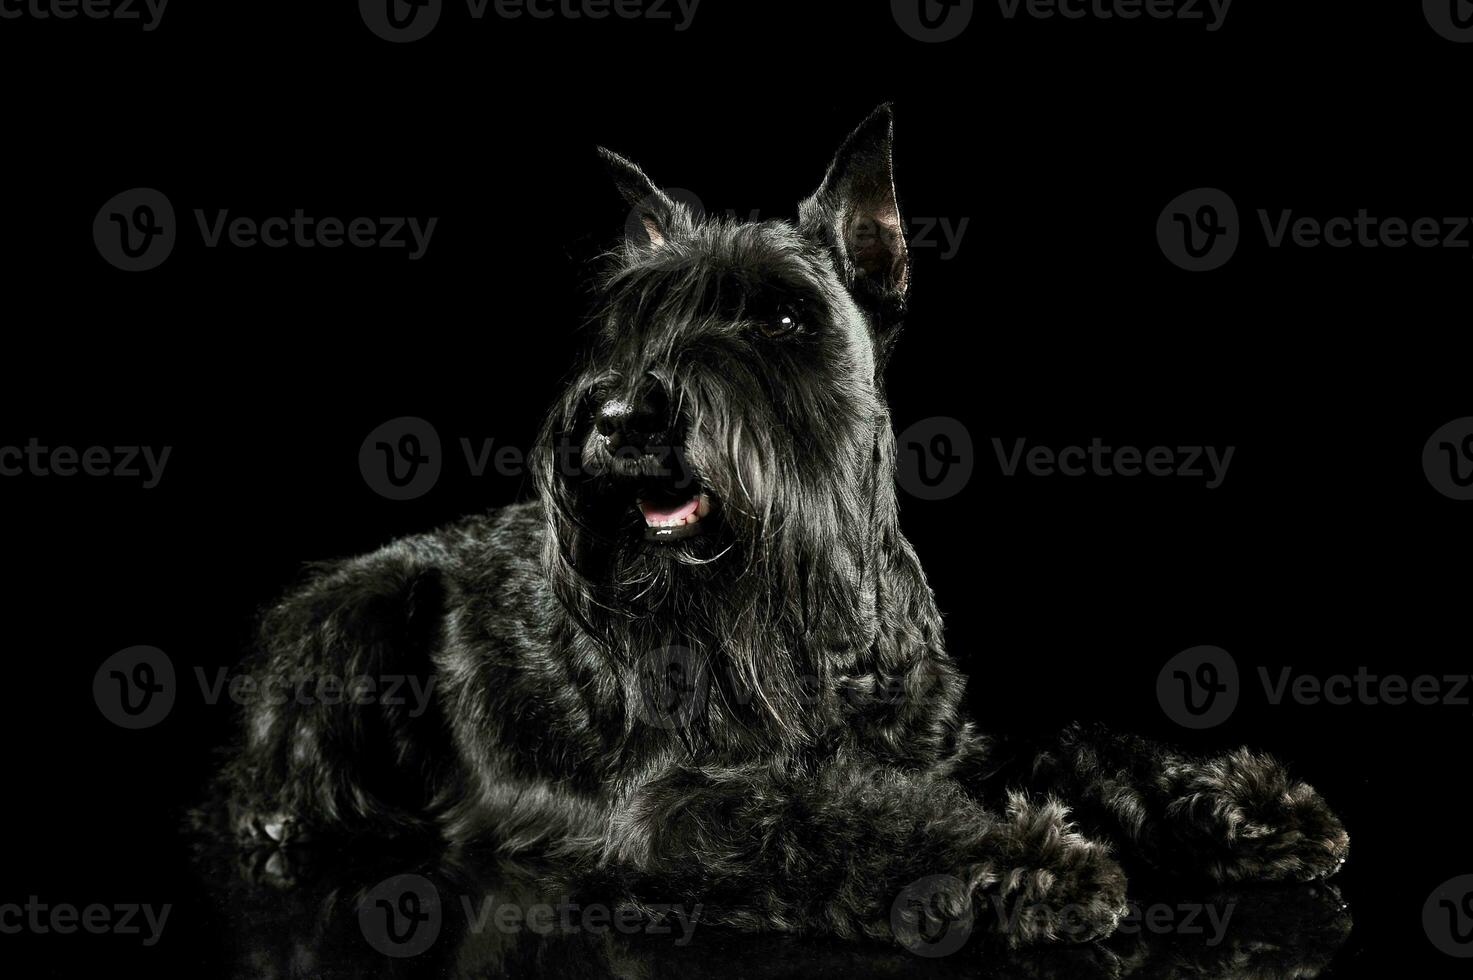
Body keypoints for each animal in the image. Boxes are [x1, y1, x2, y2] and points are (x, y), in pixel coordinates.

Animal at [213, 105, 1349, 949]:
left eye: (785, 317)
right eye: (634, 323)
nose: (619, 418)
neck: (824, 630)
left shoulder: (953, 739)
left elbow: (1079, 737)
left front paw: (1244, 807)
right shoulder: (682, 799)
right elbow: (837, 812)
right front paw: (1023, 861)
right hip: (365, 603)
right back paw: (288, 811)